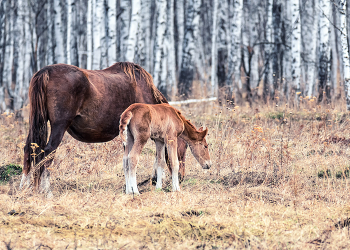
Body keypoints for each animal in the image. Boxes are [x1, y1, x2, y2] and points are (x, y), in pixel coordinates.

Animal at [18, 62, 189, 195]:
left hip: (36, 121)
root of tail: (45, 71)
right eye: (185, 147)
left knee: (28, 149)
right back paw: (46, 191)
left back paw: (24, 187)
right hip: (59, 126)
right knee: (47, 153)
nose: (181, 177)